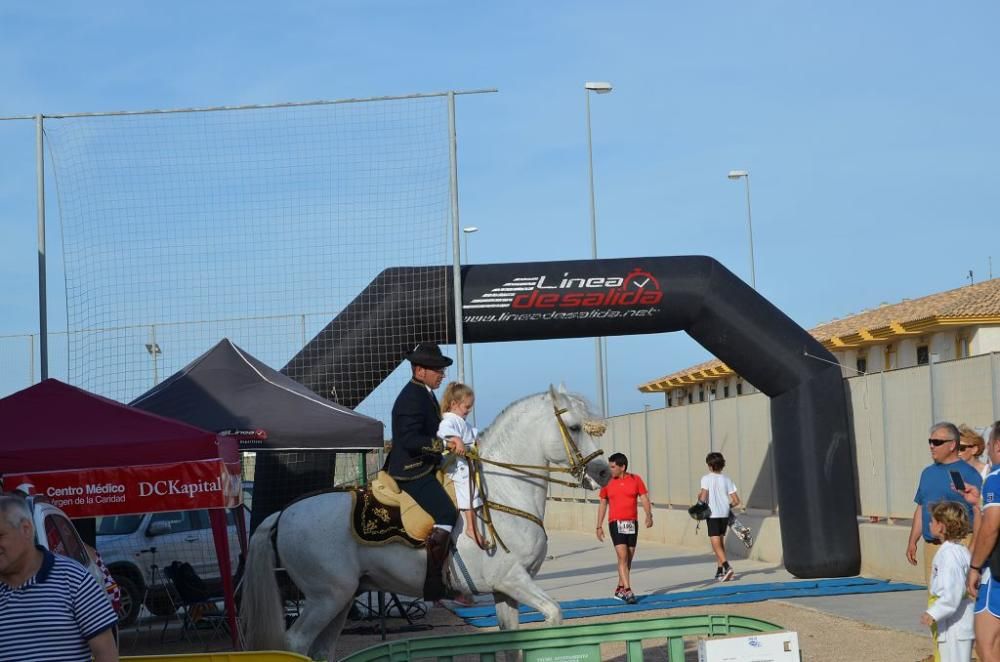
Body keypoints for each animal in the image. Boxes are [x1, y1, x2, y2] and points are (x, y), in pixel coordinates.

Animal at [242, 386, 612, 660]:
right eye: (575, 427)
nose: (604, 472)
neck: (504, 491)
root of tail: (285, 513)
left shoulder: (505, 590)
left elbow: (511, 646)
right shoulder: (512, 578)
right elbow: (554, 613)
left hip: (342, 598)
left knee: (321, 650)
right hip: (325, 598)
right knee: (297, 644)